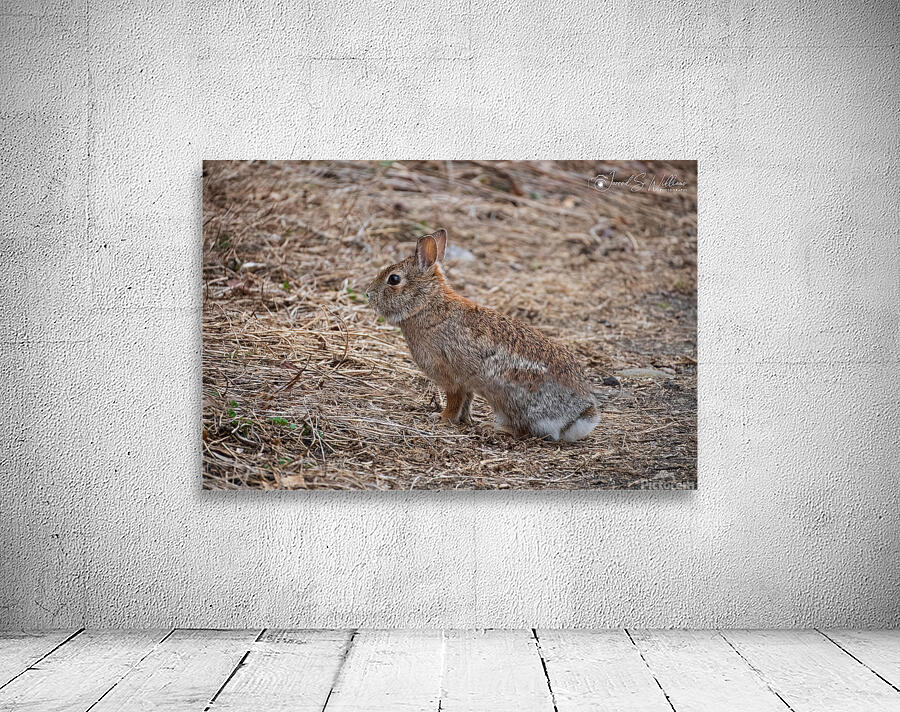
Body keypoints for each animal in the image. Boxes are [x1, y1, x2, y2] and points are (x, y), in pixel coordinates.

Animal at [365, 229, 600, 442]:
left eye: (394, 279)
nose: (368, 294)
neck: (426, 303)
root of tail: (579, 416)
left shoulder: (451, 376)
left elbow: (455, 400)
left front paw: (441, 418)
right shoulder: (468, 383)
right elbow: (466, 401)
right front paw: (464, 420)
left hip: (506, 394)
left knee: (523, 428)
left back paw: (495, 428)